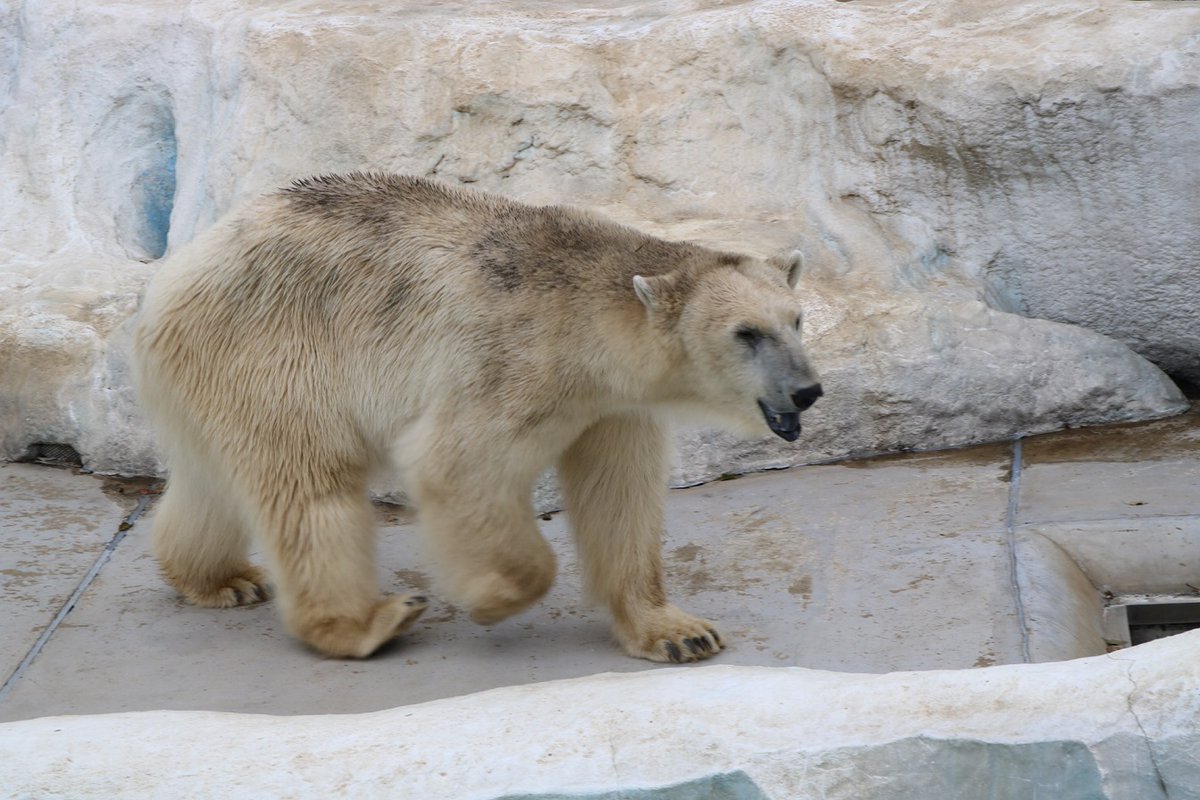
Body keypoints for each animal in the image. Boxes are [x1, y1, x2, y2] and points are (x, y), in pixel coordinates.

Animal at [133, 175, 825, 662]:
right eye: (745, 333)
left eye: (795, 319)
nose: (807, 390)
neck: (584, 310)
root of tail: (176, 275)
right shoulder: (513, 363)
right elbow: (455, 465)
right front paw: (489, 598)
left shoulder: (613, 407)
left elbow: (619, 496)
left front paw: (679, 632)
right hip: (276, 350)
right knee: (309, 485)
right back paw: (366, 622)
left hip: (217, 372)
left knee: (213, 479)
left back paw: (223, 579)